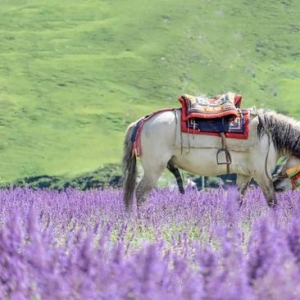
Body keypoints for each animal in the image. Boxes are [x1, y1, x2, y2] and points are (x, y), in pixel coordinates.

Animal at [121, 107, 300, 211]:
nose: (277, 184)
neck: (268, 134)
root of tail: (142, 121)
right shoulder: (262, 175)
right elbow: (273, 203)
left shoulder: (245, 175)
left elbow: (238, 202)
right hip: (153, 170)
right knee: (141, 194)